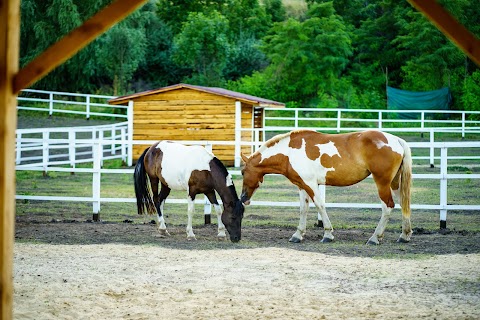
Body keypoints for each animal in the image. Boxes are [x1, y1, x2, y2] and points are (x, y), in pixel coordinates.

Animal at [240, 129, 412, 244]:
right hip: (394, 183)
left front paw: (328, 234)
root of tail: (397, 140)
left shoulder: (310, 184)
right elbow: (303, 209)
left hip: (382, 183)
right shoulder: (302, 185)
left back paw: (375, 238)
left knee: (388, 206)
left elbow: (320, 205)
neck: (289, 152)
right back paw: (404, 236)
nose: (243, 198)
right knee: (403, 204)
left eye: (242, 172)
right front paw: (298, 235)